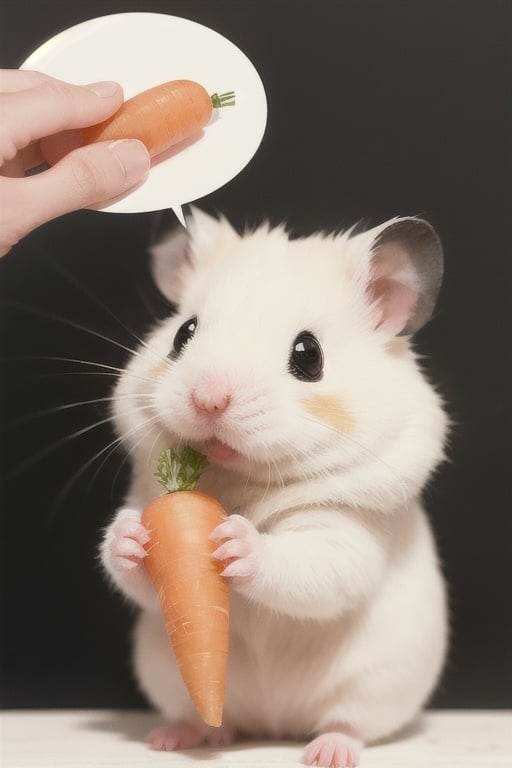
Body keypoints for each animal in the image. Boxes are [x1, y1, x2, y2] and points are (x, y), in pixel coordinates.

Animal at [100, 207, 448, 764]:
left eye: (309, 355)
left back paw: (328, 750)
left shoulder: (348, 530)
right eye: (183, 333)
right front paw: (130, 537)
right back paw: (177, 737)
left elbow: (311, 566)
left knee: (349, 722)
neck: (239, 482)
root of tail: (277, 722)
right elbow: (135, 573)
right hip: (169, 676)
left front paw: (234, 540)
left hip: (378, 685)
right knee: (211, 718)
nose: (208, 399)